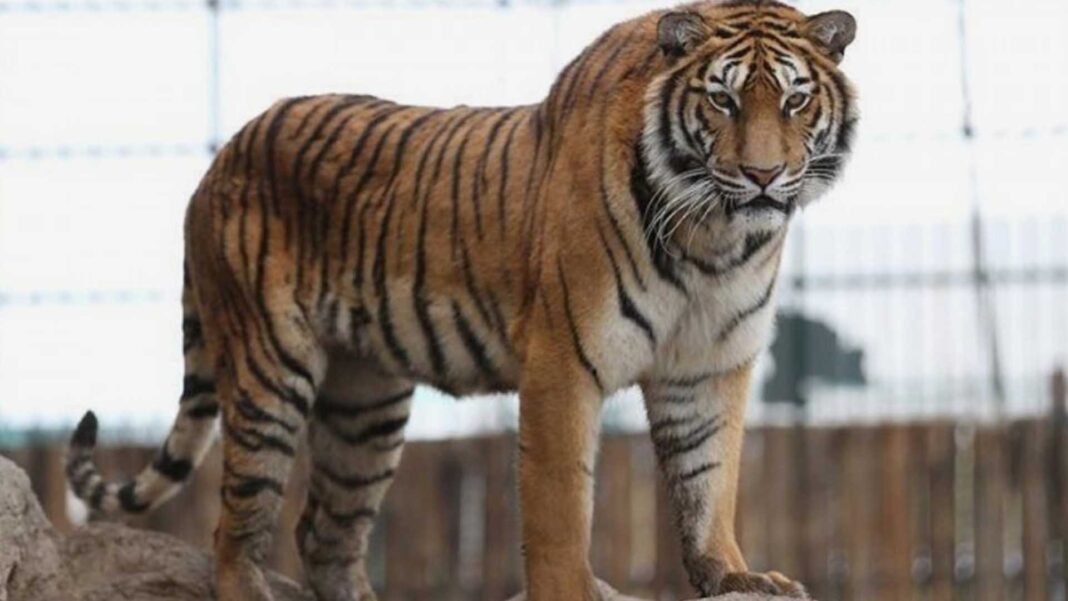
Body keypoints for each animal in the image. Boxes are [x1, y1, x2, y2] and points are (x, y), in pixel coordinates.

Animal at [65, 1, 856, 599]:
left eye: (795, 99)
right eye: (722, 100)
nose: (763, 175)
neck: (715, 240)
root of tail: (219, 158)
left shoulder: (708, 366)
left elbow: (709, 481)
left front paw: (735, 575)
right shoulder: (563, 360)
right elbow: (560, 502)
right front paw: (572, 590)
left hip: (365, 402)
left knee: (325, 534)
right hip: (270, 368)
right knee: (235, 527)